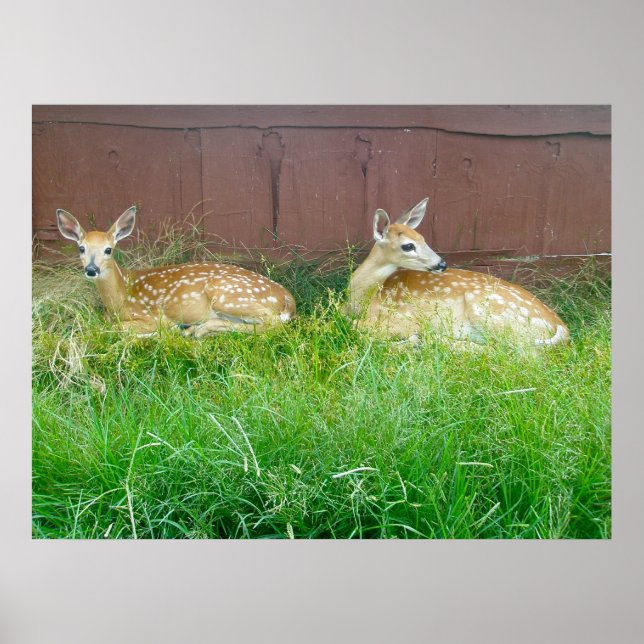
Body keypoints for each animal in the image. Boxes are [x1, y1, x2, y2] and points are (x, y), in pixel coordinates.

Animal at [56, 206, 296, 337]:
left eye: (108, 249)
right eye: (81, 248)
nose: (91, 269)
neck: (120, 298)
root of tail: (288, 299)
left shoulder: (152, 316)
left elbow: (119, 328)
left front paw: (164, 331)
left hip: (228, 296)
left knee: (272, 323)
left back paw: (194, 330)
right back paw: (193, 330)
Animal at [346, 198, 569, 347]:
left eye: (423, 238)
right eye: (408, 245)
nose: (441, 264)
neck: (363, 299)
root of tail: (562, 328)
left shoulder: (403, 318)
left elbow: (357, 327)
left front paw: (411, 340)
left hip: (487, 309)